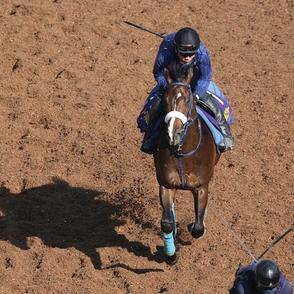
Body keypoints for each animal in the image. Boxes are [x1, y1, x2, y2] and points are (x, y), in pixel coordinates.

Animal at [155, 60, 219, 262]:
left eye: (188, 98)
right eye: (165, 100)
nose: (173, 134)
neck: (183, 153)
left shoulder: (201, 186)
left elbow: (198, 228)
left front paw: (194, 224)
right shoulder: (167, 184)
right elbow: (166, 223)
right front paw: (171, 254)